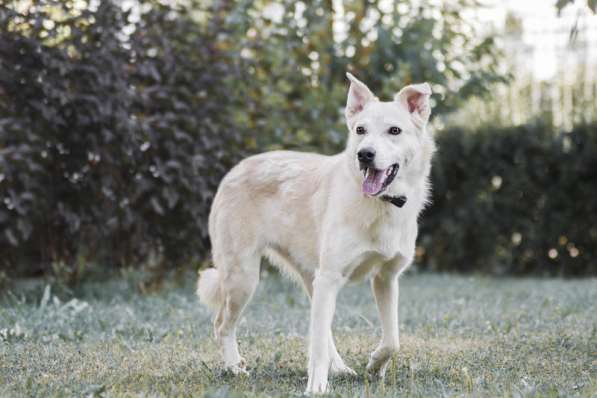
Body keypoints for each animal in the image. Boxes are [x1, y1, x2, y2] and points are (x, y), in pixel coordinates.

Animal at [196, 73, 434, 394]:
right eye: (360, 130)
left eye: (394, 130)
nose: (364, 155)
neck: (381, 204)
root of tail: (236, 169)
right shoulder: (331, 277)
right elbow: (318, 345)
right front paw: (316, 387)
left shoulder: (386, 278)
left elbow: (392, 340)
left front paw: (375, 366)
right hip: (243, 278)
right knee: (222, 325)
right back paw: (235, 368)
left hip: (311, 279)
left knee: (322, 329)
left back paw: (342, 368)